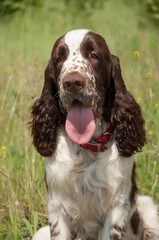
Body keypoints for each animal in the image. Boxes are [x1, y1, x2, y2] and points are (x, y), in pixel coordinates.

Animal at [30, 29, 158, 240]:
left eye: (94, 55)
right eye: (58, 59)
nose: (73, 83)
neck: (88, 146)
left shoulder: (117, 206)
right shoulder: (57, 204)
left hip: (148, 210)